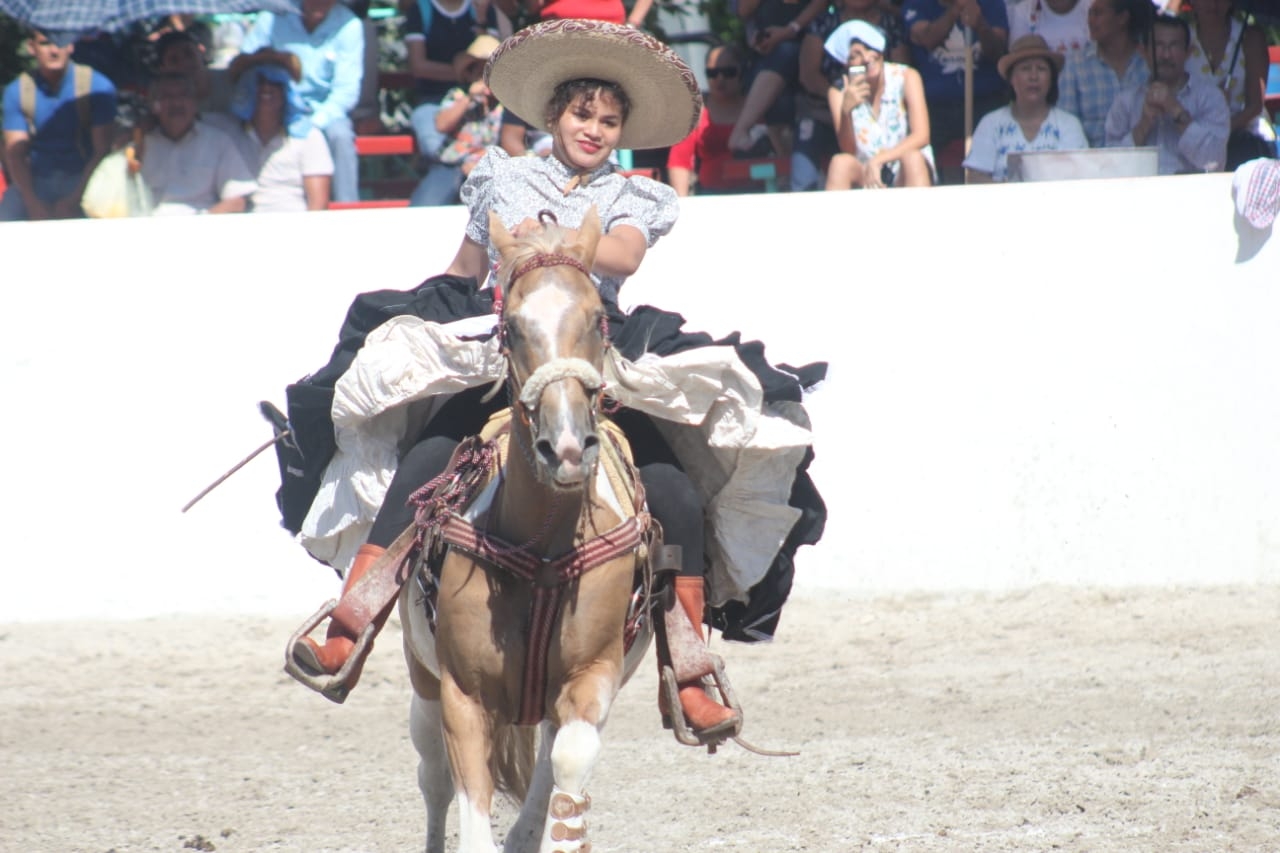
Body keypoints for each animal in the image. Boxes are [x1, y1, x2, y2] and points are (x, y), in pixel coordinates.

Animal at [399, 207, 655, 850]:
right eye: (511, 328)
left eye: (597, 318)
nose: (565, 447)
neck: (541, 546)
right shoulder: (462, 696)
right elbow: (471, 812)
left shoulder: (594, 676)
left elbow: (565, 768)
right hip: (422, 677)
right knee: (433, 780)